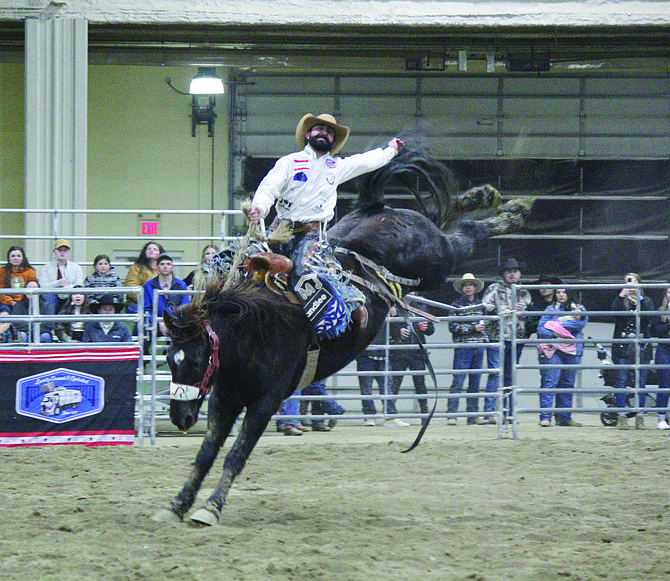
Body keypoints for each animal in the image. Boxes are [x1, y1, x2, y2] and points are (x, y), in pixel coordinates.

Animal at [154, 148, 536, 524]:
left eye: (197, 360)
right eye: (170, 359)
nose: (179, 418)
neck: (253, 333)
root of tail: (375, 208)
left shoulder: (265, 402)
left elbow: (236, 454)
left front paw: (210, 508)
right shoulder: (224, 398)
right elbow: (206, 453)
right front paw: (178, 504)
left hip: (437, 261)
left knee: (463, 233)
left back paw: (510, 209)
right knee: (447, 216)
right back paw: (480, 198)